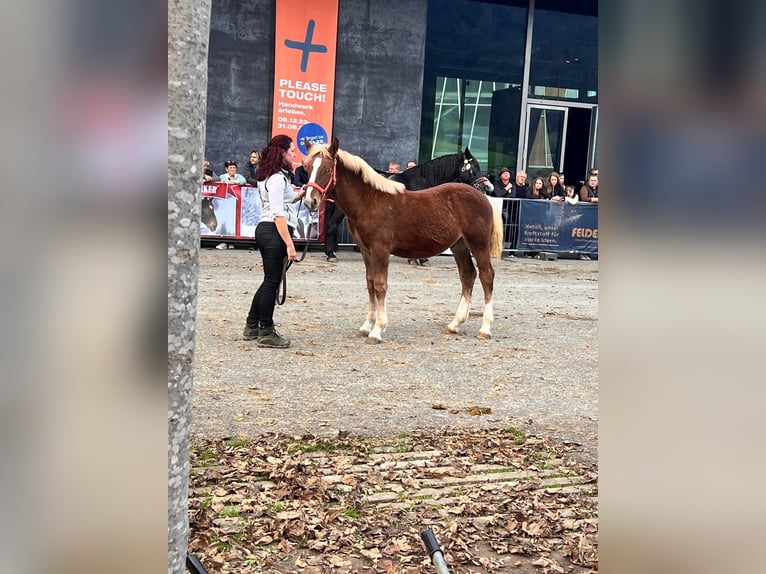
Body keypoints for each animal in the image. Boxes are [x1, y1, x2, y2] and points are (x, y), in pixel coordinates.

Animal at [304, 138, 508, 346]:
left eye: (327, 169)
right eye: (307, 168)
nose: (310, 201)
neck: (370, 201)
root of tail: (483, 198)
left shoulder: (380, 250)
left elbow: (380, 285)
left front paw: (377, 330)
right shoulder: (366, 251)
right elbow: (370, 283)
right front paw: (367, 325)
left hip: (478, 244)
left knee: (487, 276)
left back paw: (485, 329)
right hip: (459, 246)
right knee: (468, 275)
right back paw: (454, 324)